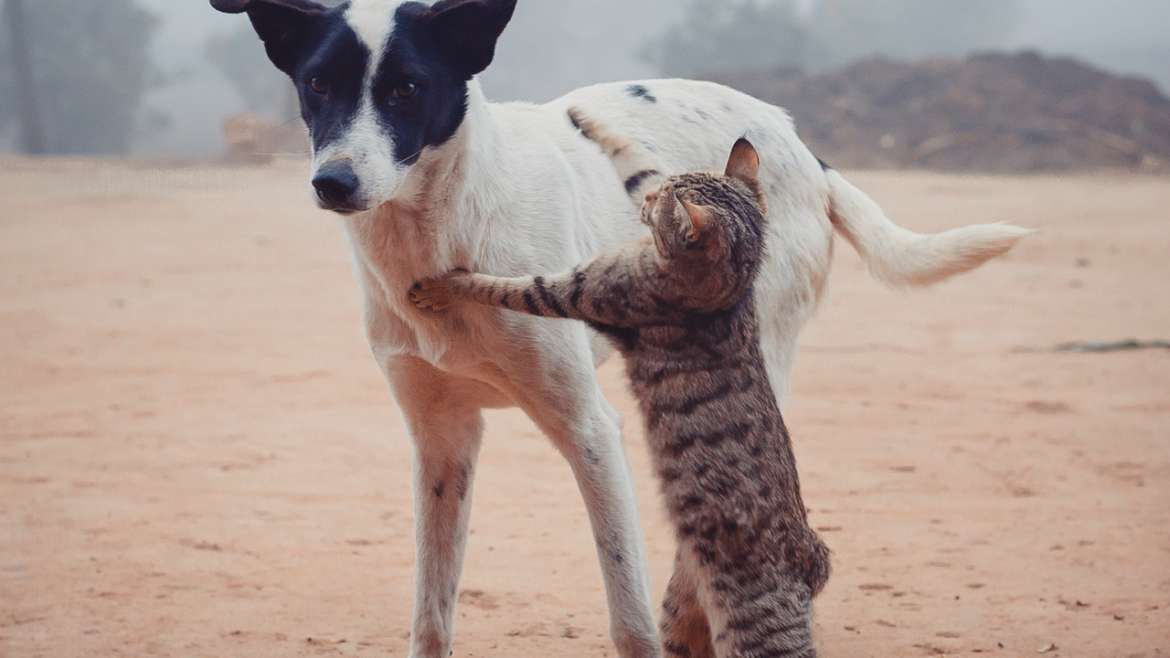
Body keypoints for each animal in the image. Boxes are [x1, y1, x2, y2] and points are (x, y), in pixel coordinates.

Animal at [411, 110, 833, 650]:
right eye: (661, 194)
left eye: (662, 208)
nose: (651, 203)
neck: (729, 293)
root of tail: (811, 562)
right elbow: (636, 163)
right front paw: (588, 123)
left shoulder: (578, 291)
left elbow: (503, 286)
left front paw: (444, 287)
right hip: (684, 612)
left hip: (752, 627)